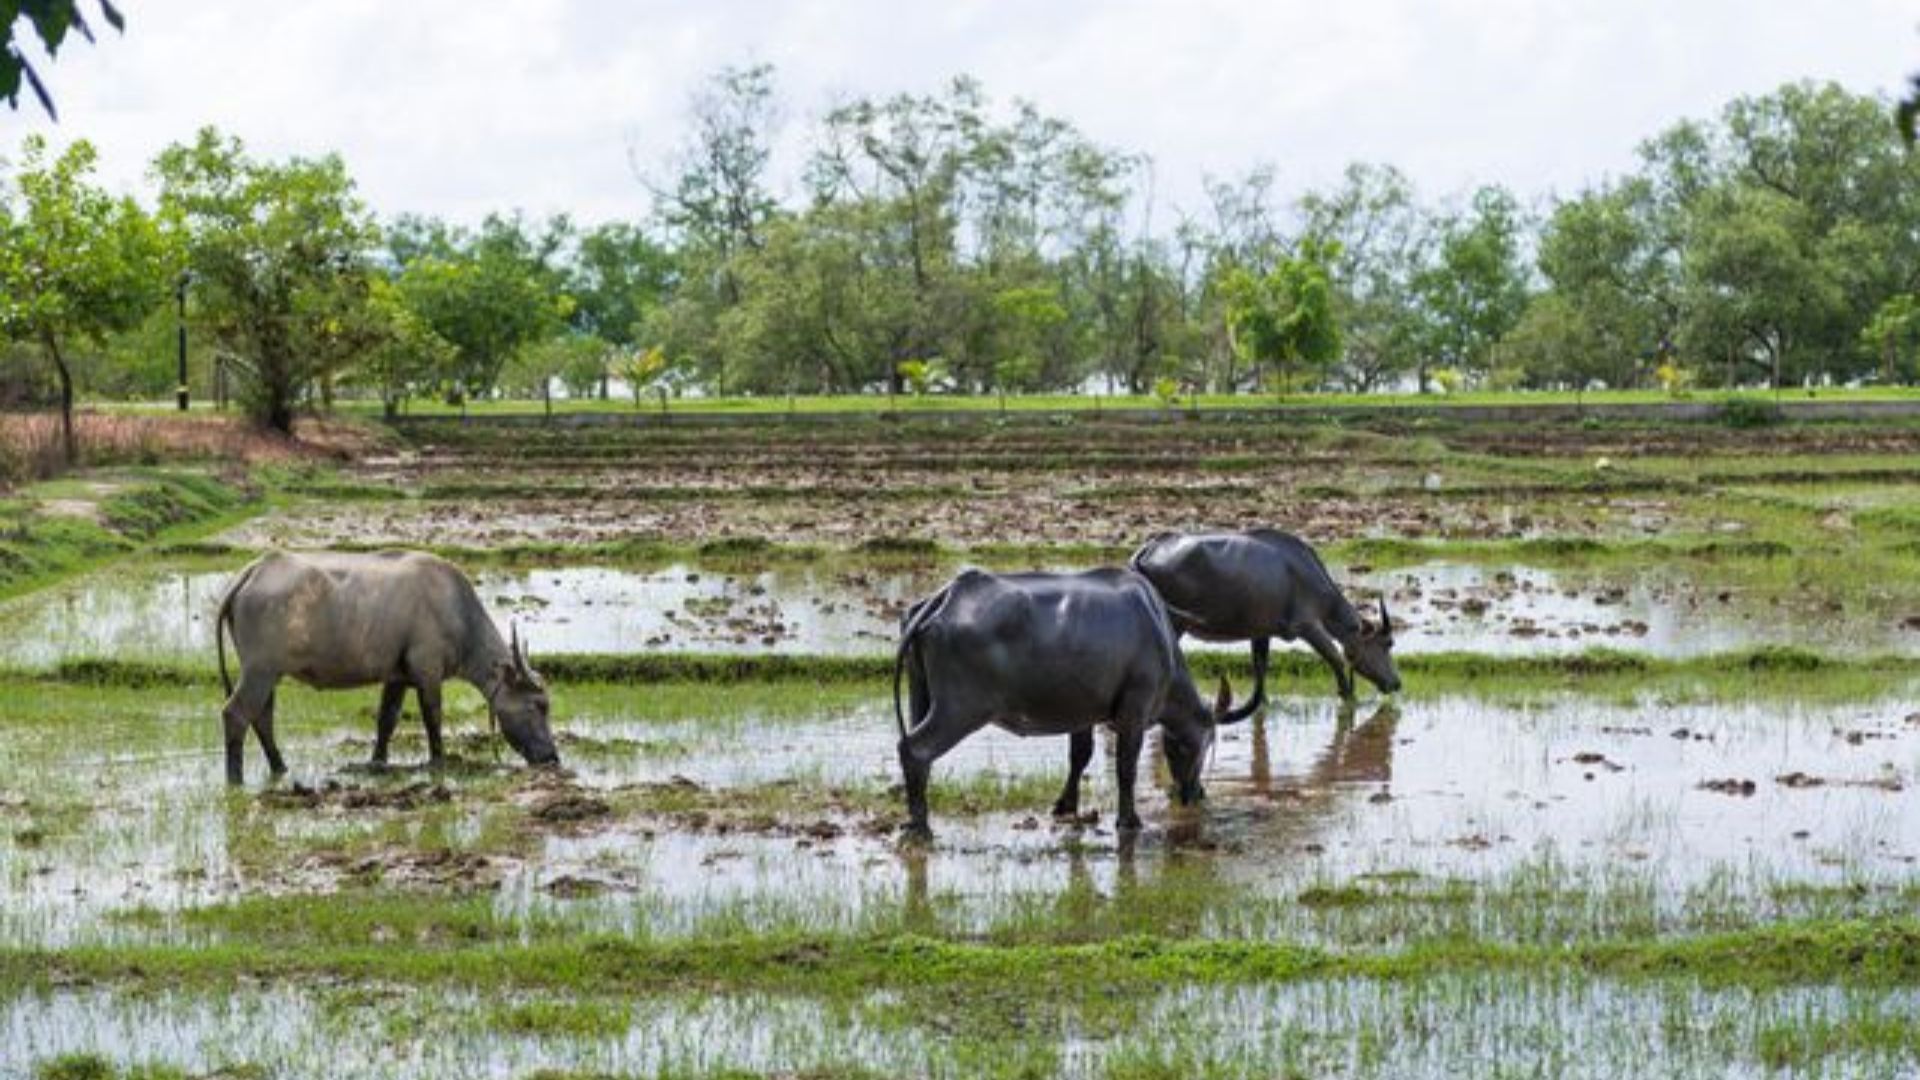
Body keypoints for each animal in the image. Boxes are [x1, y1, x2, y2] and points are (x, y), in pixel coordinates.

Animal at [220, 549, 560, 776]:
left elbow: (387, 719)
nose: (552, 757)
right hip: (259, 671)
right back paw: (235, 779)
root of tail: (255, 570)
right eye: (538, 706)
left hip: (269, 674)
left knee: (261, 717)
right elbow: (433, 716)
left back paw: (280, 768)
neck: (457, 611)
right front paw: (439, 761)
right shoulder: (428, 673)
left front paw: (377, 761)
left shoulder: (397, 678)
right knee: (236, 714)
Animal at [887, 568, 1259, 837]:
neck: (1157, 631)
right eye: (1205, 742)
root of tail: (946, 596)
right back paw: (919, 825)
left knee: (916, 754)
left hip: (921, 696)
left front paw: (1066, 805)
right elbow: (1126, 766)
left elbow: (1080, 756)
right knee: (915, 750)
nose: (1195, 794)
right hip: (961, 709)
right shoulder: (1134, 712)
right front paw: (1129, 820)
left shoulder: (1084, 714)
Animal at [1128, 526, 1405, 703]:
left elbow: (1260, 666)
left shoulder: (1261, 633)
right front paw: (1348, 696)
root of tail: (1149, 549)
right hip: (1174, 625)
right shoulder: (1308, 626)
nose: (1397, 684)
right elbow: (1335, 658)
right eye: (1387, 643)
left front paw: (1262, 702)